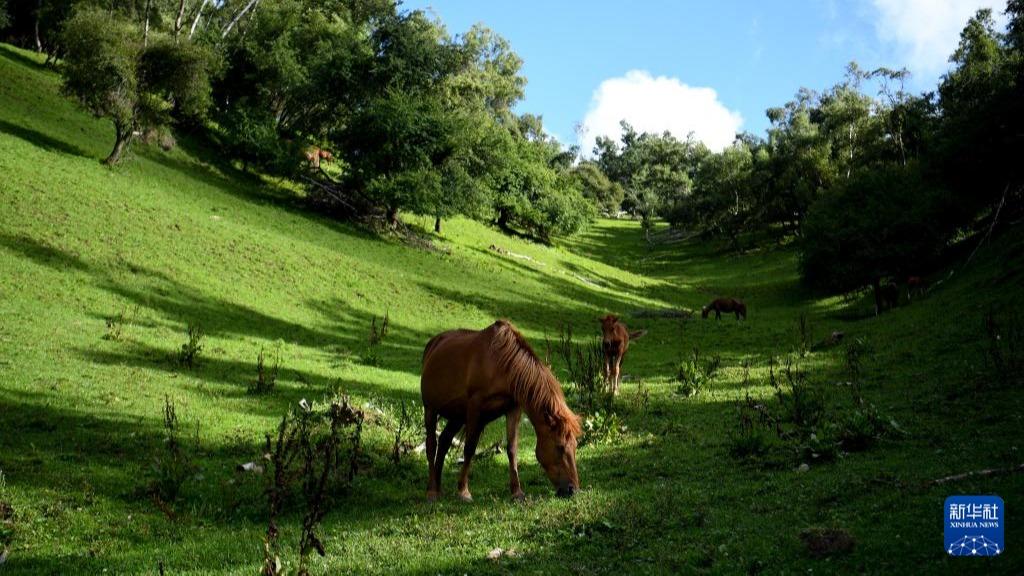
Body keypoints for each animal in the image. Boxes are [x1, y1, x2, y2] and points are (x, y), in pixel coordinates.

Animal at [419, 319, 581, 500]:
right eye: (560, 447)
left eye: (575, 446)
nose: (573, 490)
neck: (502, 365)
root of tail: (433, 344)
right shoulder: (475, 408)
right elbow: (469, 449)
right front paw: (463, 491)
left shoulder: (513, 409)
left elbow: (512, 449)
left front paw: (517, 492)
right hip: (430, 410)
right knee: (431, 445)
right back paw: (432, 491)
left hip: (457, 417)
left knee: (444, 441)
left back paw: (437, 487)